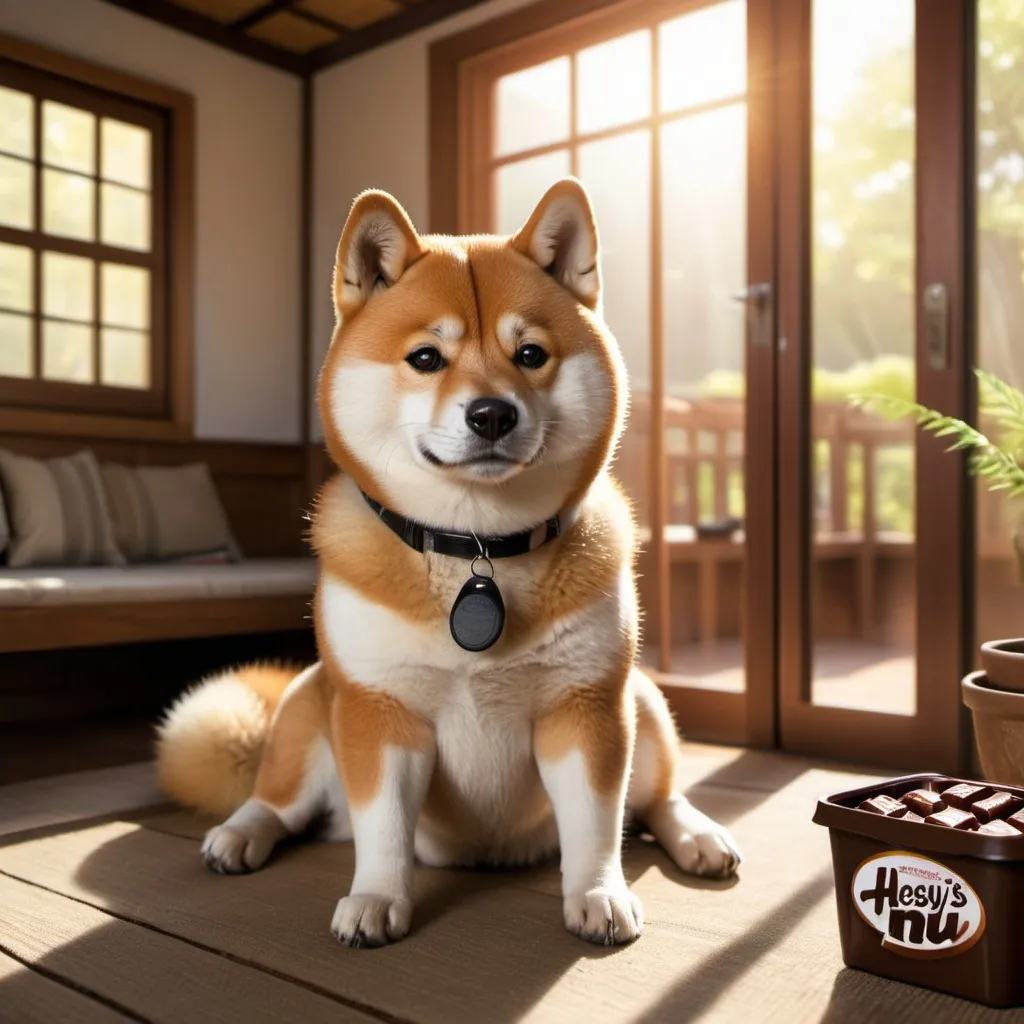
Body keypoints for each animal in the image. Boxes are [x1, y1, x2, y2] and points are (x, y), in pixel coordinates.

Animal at [155, 178, 741, 950]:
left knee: (656, 801)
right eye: (427, 358)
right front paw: (376, 898)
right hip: (315, 704)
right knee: (278, 801)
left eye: (530, 354)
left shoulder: (585, 706)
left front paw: (597, 895)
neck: (477, 552)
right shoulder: (380, 712)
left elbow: (596, 827)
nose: (491, 414)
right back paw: (239, 833)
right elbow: (382, 833)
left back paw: (697, 835)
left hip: (640, 700)